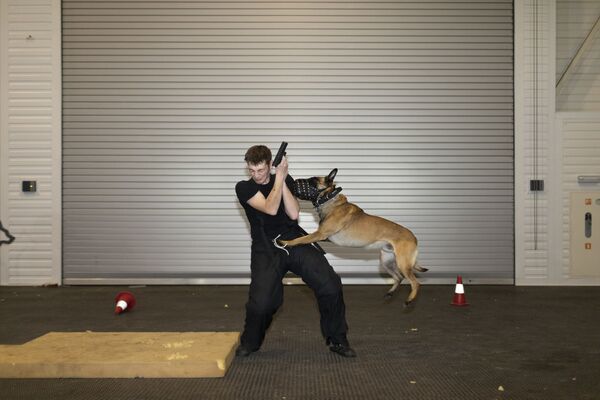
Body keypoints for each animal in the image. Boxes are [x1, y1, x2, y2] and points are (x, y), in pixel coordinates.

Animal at [276, 167, 426, 304]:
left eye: (313, 180)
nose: (294, 181)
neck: (330, 200)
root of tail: (414, 237)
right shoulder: (323, 237)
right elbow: (303, 236)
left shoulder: (320, 234)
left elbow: (299, 239)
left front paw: (286, 242)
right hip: (387, 261)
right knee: (398, 277)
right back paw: (390, 293)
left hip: (402, 263)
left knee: (415, 282)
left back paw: (409, 300)